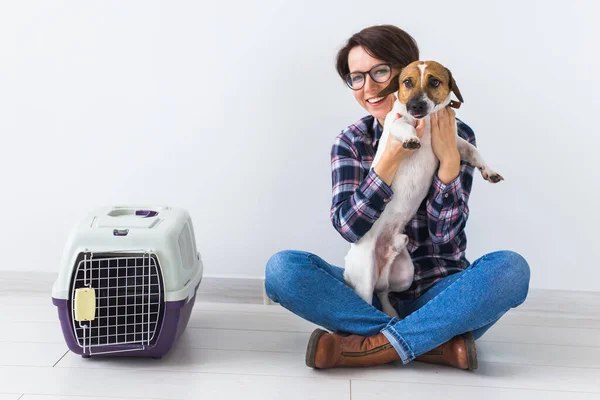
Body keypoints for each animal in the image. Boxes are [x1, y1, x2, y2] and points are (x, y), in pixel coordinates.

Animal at [342, 59, 502, 318]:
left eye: (434, 81)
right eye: (407, 82)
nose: (415, 105)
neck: (426, 122)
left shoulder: (455, 143)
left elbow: (473, 150)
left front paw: (489, 170)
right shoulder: (396, 124)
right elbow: (402, 125)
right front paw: (411, 139)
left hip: (405, 274)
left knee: (384, 292)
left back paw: (392, 313)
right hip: (364, 277)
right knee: (366, 301)